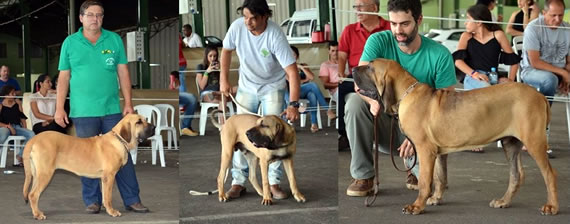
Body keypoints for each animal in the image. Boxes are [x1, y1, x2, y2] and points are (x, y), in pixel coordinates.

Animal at [21, 114, 154, 220]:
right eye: (138, 122)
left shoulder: (104, 178)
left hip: (37, 174)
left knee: (31, 193)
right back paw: (38, 215)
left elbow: (105, 196)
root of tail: (34, 139)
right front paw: (112, 211)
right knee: (33, 195)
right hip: (45, 173)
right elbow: (108, 197)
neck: (118, 140)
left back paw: (37, 212)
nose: (154, 127)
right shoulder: (109, 176)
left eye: (145, 119)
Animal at [350, 59, 556, 215]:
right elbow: (440, 177)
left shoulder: (425, 150)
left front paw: (417, 206)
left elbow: (425, 181)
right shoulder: (438, 152)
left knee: (549, 174)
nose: (352, 69)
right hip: (510, 144)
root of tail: (540, 96)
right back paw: (503, 202)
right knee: (516, 175)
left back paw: (552, 206)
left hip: (534, 141)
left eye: (370, 68)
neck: (407, 93)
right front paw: (436, 198)